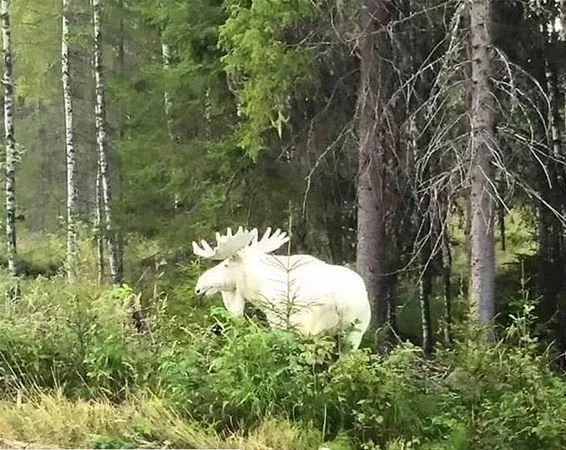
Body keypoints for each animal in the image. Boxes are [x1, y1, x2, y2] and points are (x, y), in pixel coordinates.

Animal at [193, 227, 374, 350]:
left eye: (225, 264)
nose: (199, 286)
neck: (256, 288)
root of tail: (343, 302)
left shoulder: (279, 322)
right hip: (355, 332)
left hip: (311, 327)